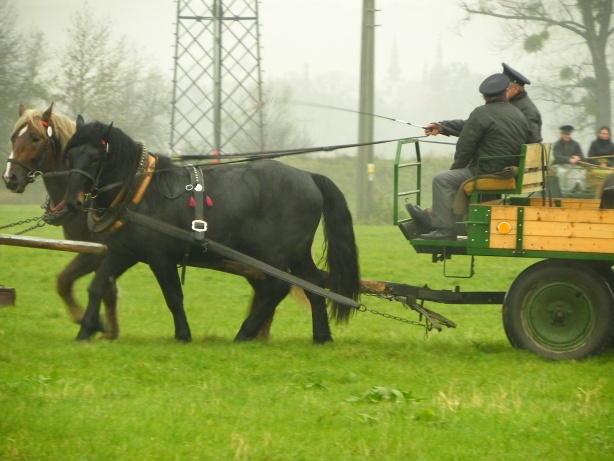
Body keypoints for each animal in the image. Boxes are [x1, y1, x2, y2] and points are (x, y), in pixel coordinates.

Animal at [61, 117, 360, 342]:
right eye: (70, 155)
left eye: (95, 157)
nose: (73, 202)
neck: (140, 191)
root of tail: (309, 176)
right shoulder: (123, 252)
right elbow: (97, 286)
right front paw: (86, 330)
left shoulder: (160, 258)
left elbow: (173, 296)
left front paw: (183, 334)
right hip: (296, 253)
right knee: (314, 285)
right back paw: (321, 337)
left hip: (273, 253)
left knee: (276, 287)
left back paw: (244, 334)